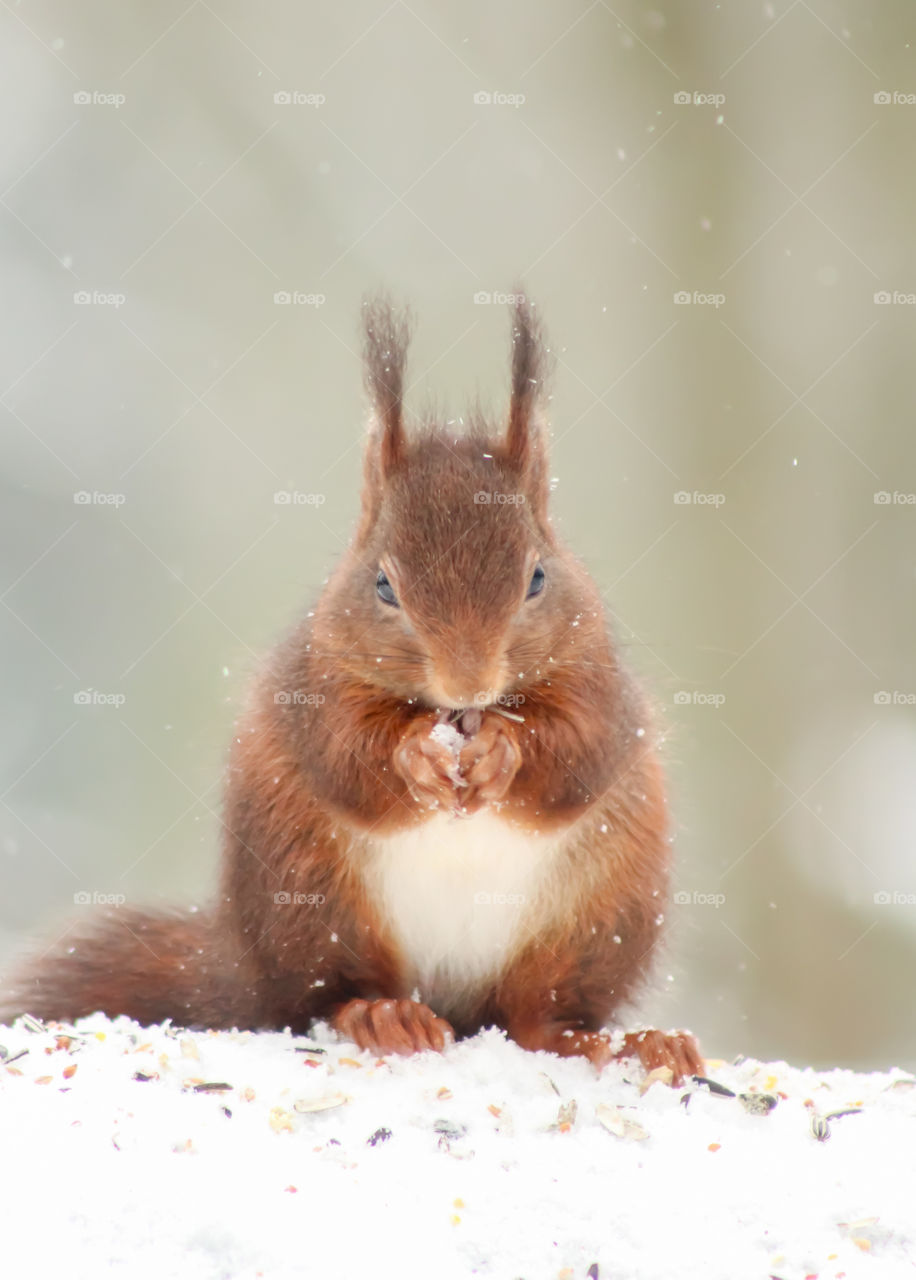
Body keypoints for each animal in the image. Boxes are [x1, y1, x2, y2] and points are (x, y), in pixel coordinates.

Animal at [3, 296, 701, 1083]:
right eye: (383, 585)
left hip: (595, 920)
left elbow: (581, 750)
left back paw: (627, 1043)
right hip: (314, 900)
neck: (453, 713)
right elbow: (344, 754)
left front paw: (503, 751)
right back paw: (382, 1015)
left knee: (538, 1018)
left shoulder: (600, 684)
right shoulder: (316, 681)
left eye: (538, 578)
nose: (469, 681)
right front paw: (415, 756)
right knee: (324, 994)